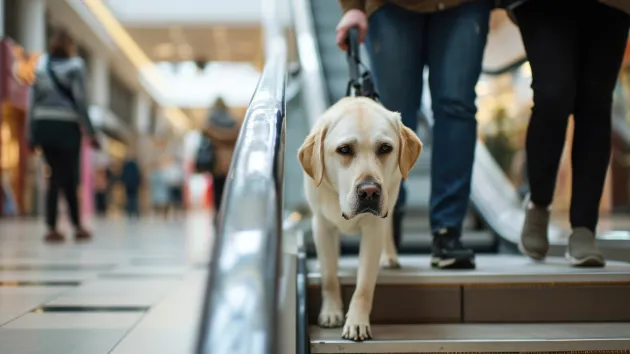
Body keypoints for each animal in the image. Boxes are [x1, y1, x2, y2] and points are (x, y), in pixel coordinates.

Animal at [298, 96, 422, 340]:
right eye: (344, 149)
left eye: (385, 148)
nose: (369, 192)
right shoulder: (322, 226)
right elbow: (329, 276)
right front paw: (331, 312)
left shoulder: (373, 230)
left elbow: (364, 285)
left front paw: (356, 322)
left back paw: (390, 257)